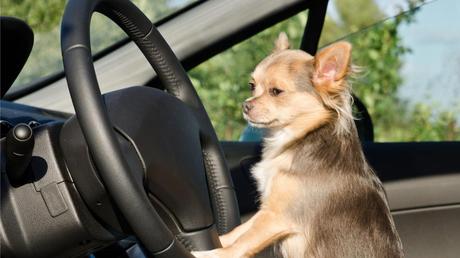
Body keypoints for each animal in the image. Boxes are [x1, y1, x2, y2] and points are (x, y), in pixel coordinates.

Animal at [192, 33, 404, 256]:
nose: (245, 105)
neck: (297, 137)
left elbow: (242, 243)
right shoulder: (269, 209)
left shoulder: (277, 217)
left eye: (276, 91)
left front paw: (208, 253)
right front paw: (217, 240)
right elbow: (237, 232)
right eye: (252, 85)